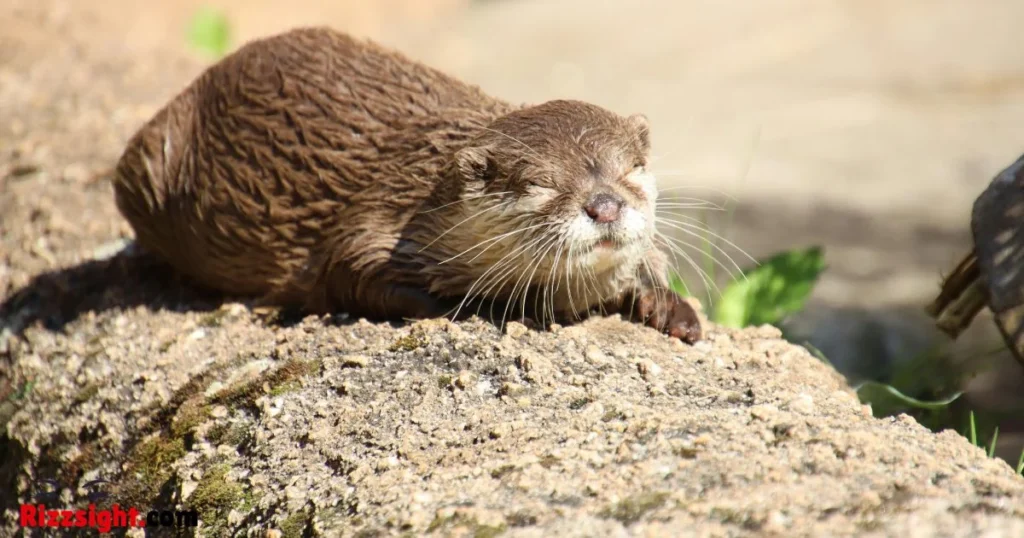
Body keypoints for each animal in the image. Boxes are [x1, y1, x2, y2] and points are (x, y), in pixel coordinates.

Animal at [112, 26, 702, 343]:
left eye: (630, 169)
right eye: (540, 183)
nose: (604, 205)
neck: (421, 197)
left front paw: (668, 306)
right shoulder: (373, 225)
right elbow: (353, 273)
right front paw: (502, 307)